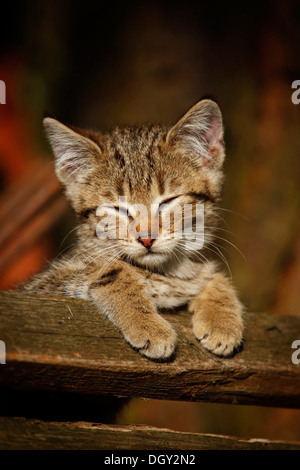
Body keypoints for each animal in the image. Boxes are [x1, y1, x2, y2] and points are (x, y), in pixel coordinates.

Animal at [22, 100, 244, 360]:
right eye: (117, 208)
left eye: (168, 201)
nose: (146, 239)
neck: (165, 272)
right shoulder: (44, 285)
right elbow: (113, 270)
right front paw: (148, 325)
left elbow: (211, 276)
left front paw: (222, 318)